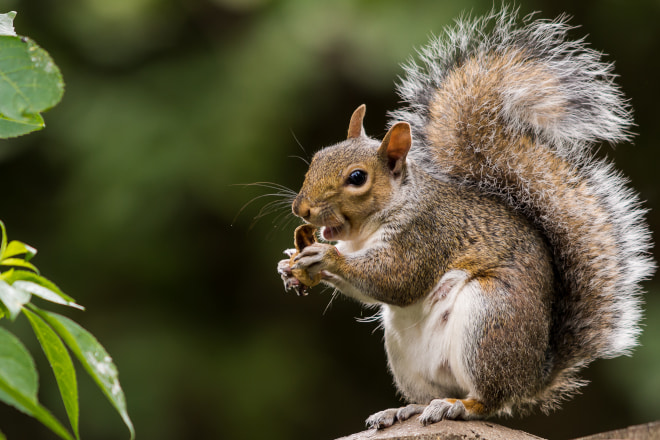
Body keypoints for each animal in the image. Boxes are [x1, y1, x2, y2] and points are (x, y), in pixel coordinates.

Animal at [274, 6, 656, 428]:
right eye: (317, 158)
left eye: (357, 178)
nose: (301, 209)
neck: (369, 229)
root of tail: (532, 376)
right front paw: (288, 266)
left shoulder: (426, 235)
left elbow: (395, 279)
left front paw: (325, 257)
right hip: (407, 354)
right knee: (434, 392)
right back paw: (407, 408)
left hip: (489, 321)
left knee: (489, 399)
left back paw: (459, 406)